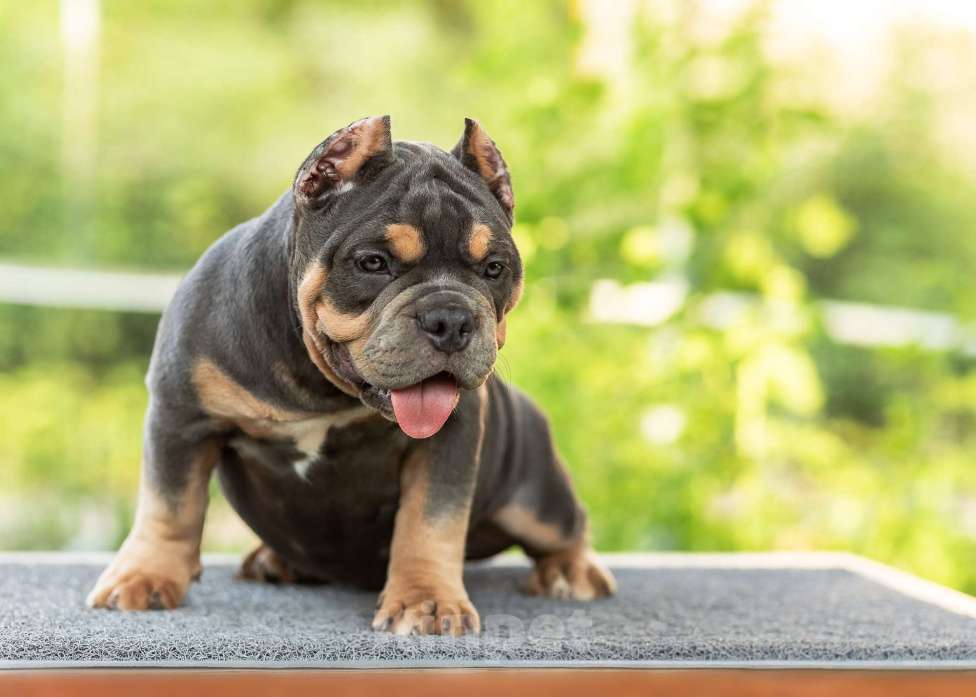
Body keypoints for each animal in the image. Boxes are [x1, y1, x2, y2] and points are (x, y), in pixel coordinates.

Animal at [87, 117, 612, 632]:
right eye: (373, 263)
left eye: (494, 268)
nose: (451, 319)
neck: (319, 382)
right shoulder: (180, 415)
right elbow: (169, 503)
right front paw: (145, 575)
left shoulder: (450, 440)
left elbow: (431, 520)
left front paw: (427, 600)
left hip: (534, 493)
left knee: (567, 526)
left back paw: (571, 570)